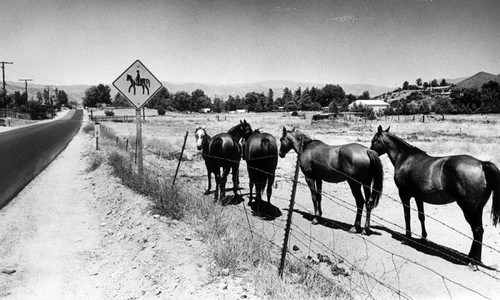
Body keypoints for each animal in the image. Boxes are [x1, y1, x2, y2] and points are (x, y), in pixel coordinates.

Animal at [372, 125, 500, 264]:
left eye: (374, 140)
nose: (371, 152)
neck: (405, 158)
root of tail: (482, 164)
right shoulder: (418, 197)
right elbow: (421, 216)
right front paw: (423, 239)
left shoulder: (404, 195)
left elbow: (407, 216)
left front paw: (407, 238)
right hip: (478, 209)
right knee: (480, 230)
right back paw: (476, 259)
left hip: (469, 209)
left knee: (477, 230)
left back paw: (470, 260)